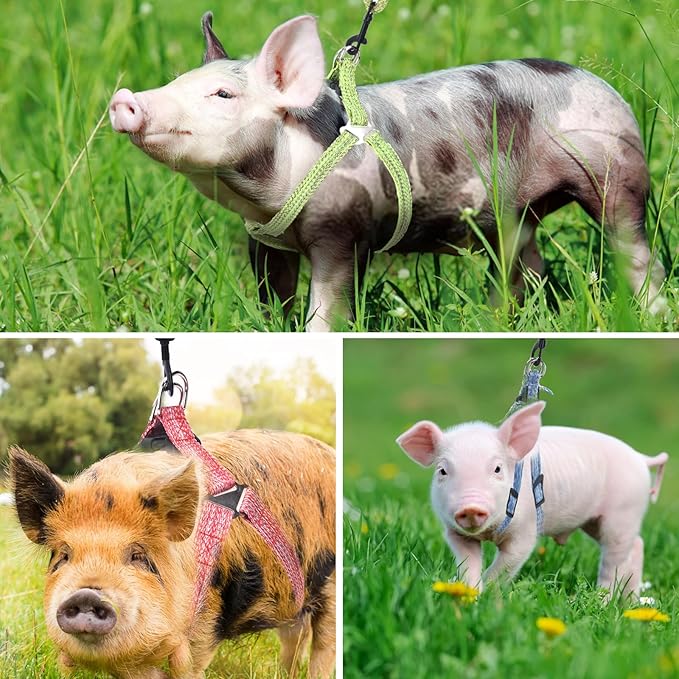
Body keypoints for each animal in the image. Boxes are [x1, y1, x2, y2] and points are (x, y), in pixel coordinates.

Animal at [9, 430, 336, 679]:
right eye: (63, 556)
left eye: (138, 556)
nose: (87, 594)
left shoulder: (205, 621)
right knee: (295, 637)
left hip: (328, 584)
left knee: (324, 643)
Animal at [109, 12, 666, 331]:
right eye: (177, 81)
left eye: (223, 94)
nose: (125, 99)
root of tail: (599, 81)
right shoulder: (264, 240)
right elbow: (274, 296)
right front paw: (269, 331)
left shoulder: (344, 231)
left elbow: (326, 305)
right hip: (516, 215)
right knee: (523, 263)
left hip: (616, 171)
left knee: (635, 246)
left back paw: (650, 314)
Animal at [397, 401, 668, 597]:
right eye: (442, 471)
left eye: (497, 469)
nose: (471, 507)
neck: (489, 532)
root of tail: (641, 458)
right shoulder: (455, 533)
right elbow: (468, 564)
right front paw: (468, 594)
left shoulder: (525, 532)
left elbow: (504, 566)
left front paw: (488, 597)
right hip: (597, 521)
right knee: (636, 547)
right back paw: (630, 604)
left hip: (623, 512)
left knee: (614, 560)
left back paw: (602, 601)